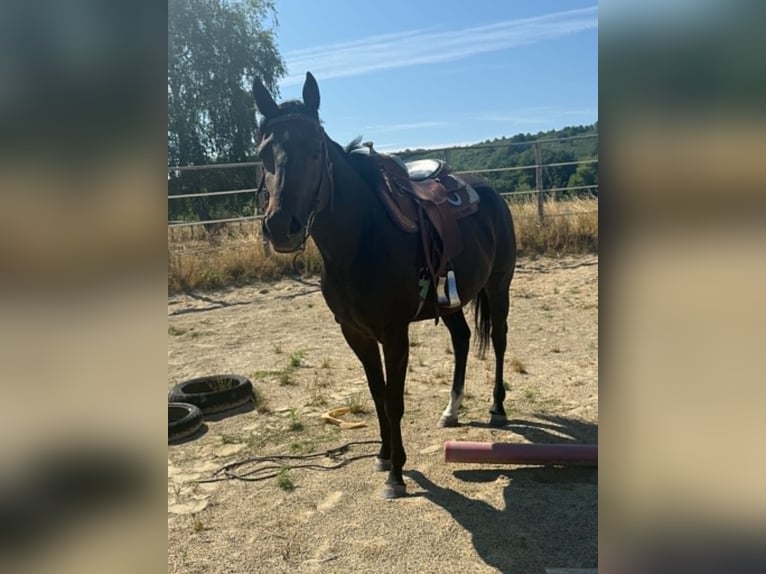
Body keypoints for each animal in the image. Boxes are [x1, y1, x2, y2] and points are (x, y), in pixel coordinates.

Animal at [252, 72, 516, 499]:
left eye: (315, 150)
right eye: (263, 153)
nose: (280, 227)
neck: (360, 240)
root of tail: (489, 191)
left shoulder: (394, 334)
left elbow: (394, 398)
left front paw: (397, 474)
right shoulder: (355, 333)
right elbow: (376, 392)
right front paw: (382, 455)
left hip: (498, 285)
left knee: (499, 339)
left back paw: (497, 408)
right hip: (452, 300)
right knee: (461, 340)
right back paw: (451, 410)